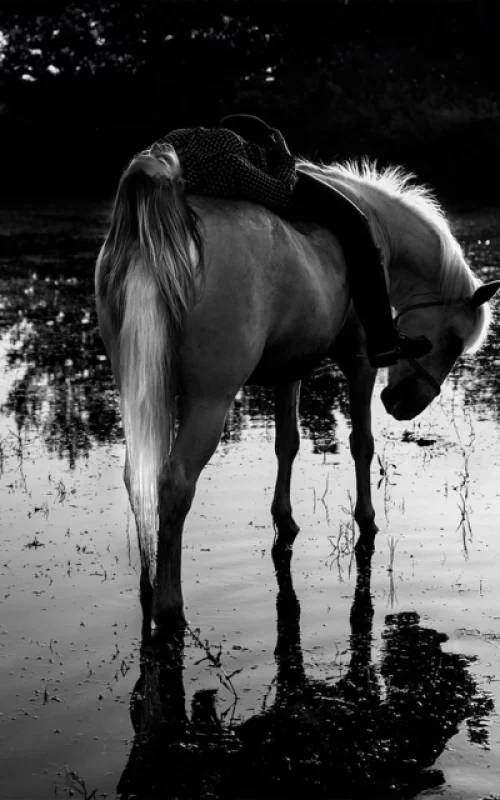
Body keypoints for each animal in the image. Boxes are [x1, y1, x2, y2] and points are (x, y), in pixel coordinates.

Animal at [95, 143, 500, 629]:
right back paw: (169, 605)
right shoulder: (360, 362)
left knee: (139, 476)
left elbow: (287, 442)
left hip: (144, 392)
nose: (405, 405)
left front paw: (284, 521)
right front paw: (367, 520)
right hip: (210, 401)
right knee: (174, 482)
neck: (377, 231)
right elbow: (362, 443)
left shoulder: (291, 368)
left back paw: (149, 583)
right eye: (455, 340)